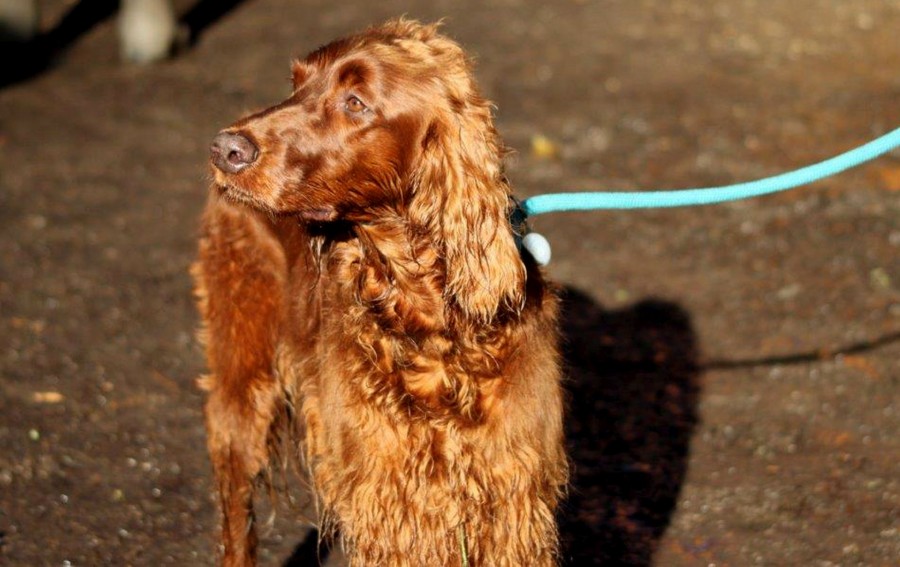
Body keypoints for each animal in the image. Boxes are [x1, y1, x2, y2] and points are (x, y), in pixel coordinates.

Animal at [193, 19, 567, 566]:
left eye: (355, 102)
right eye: (296, 84)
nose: (224, 150)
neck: (428, 322)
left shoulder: (511, 497)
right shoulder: (389, 499)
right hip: (242, 386)